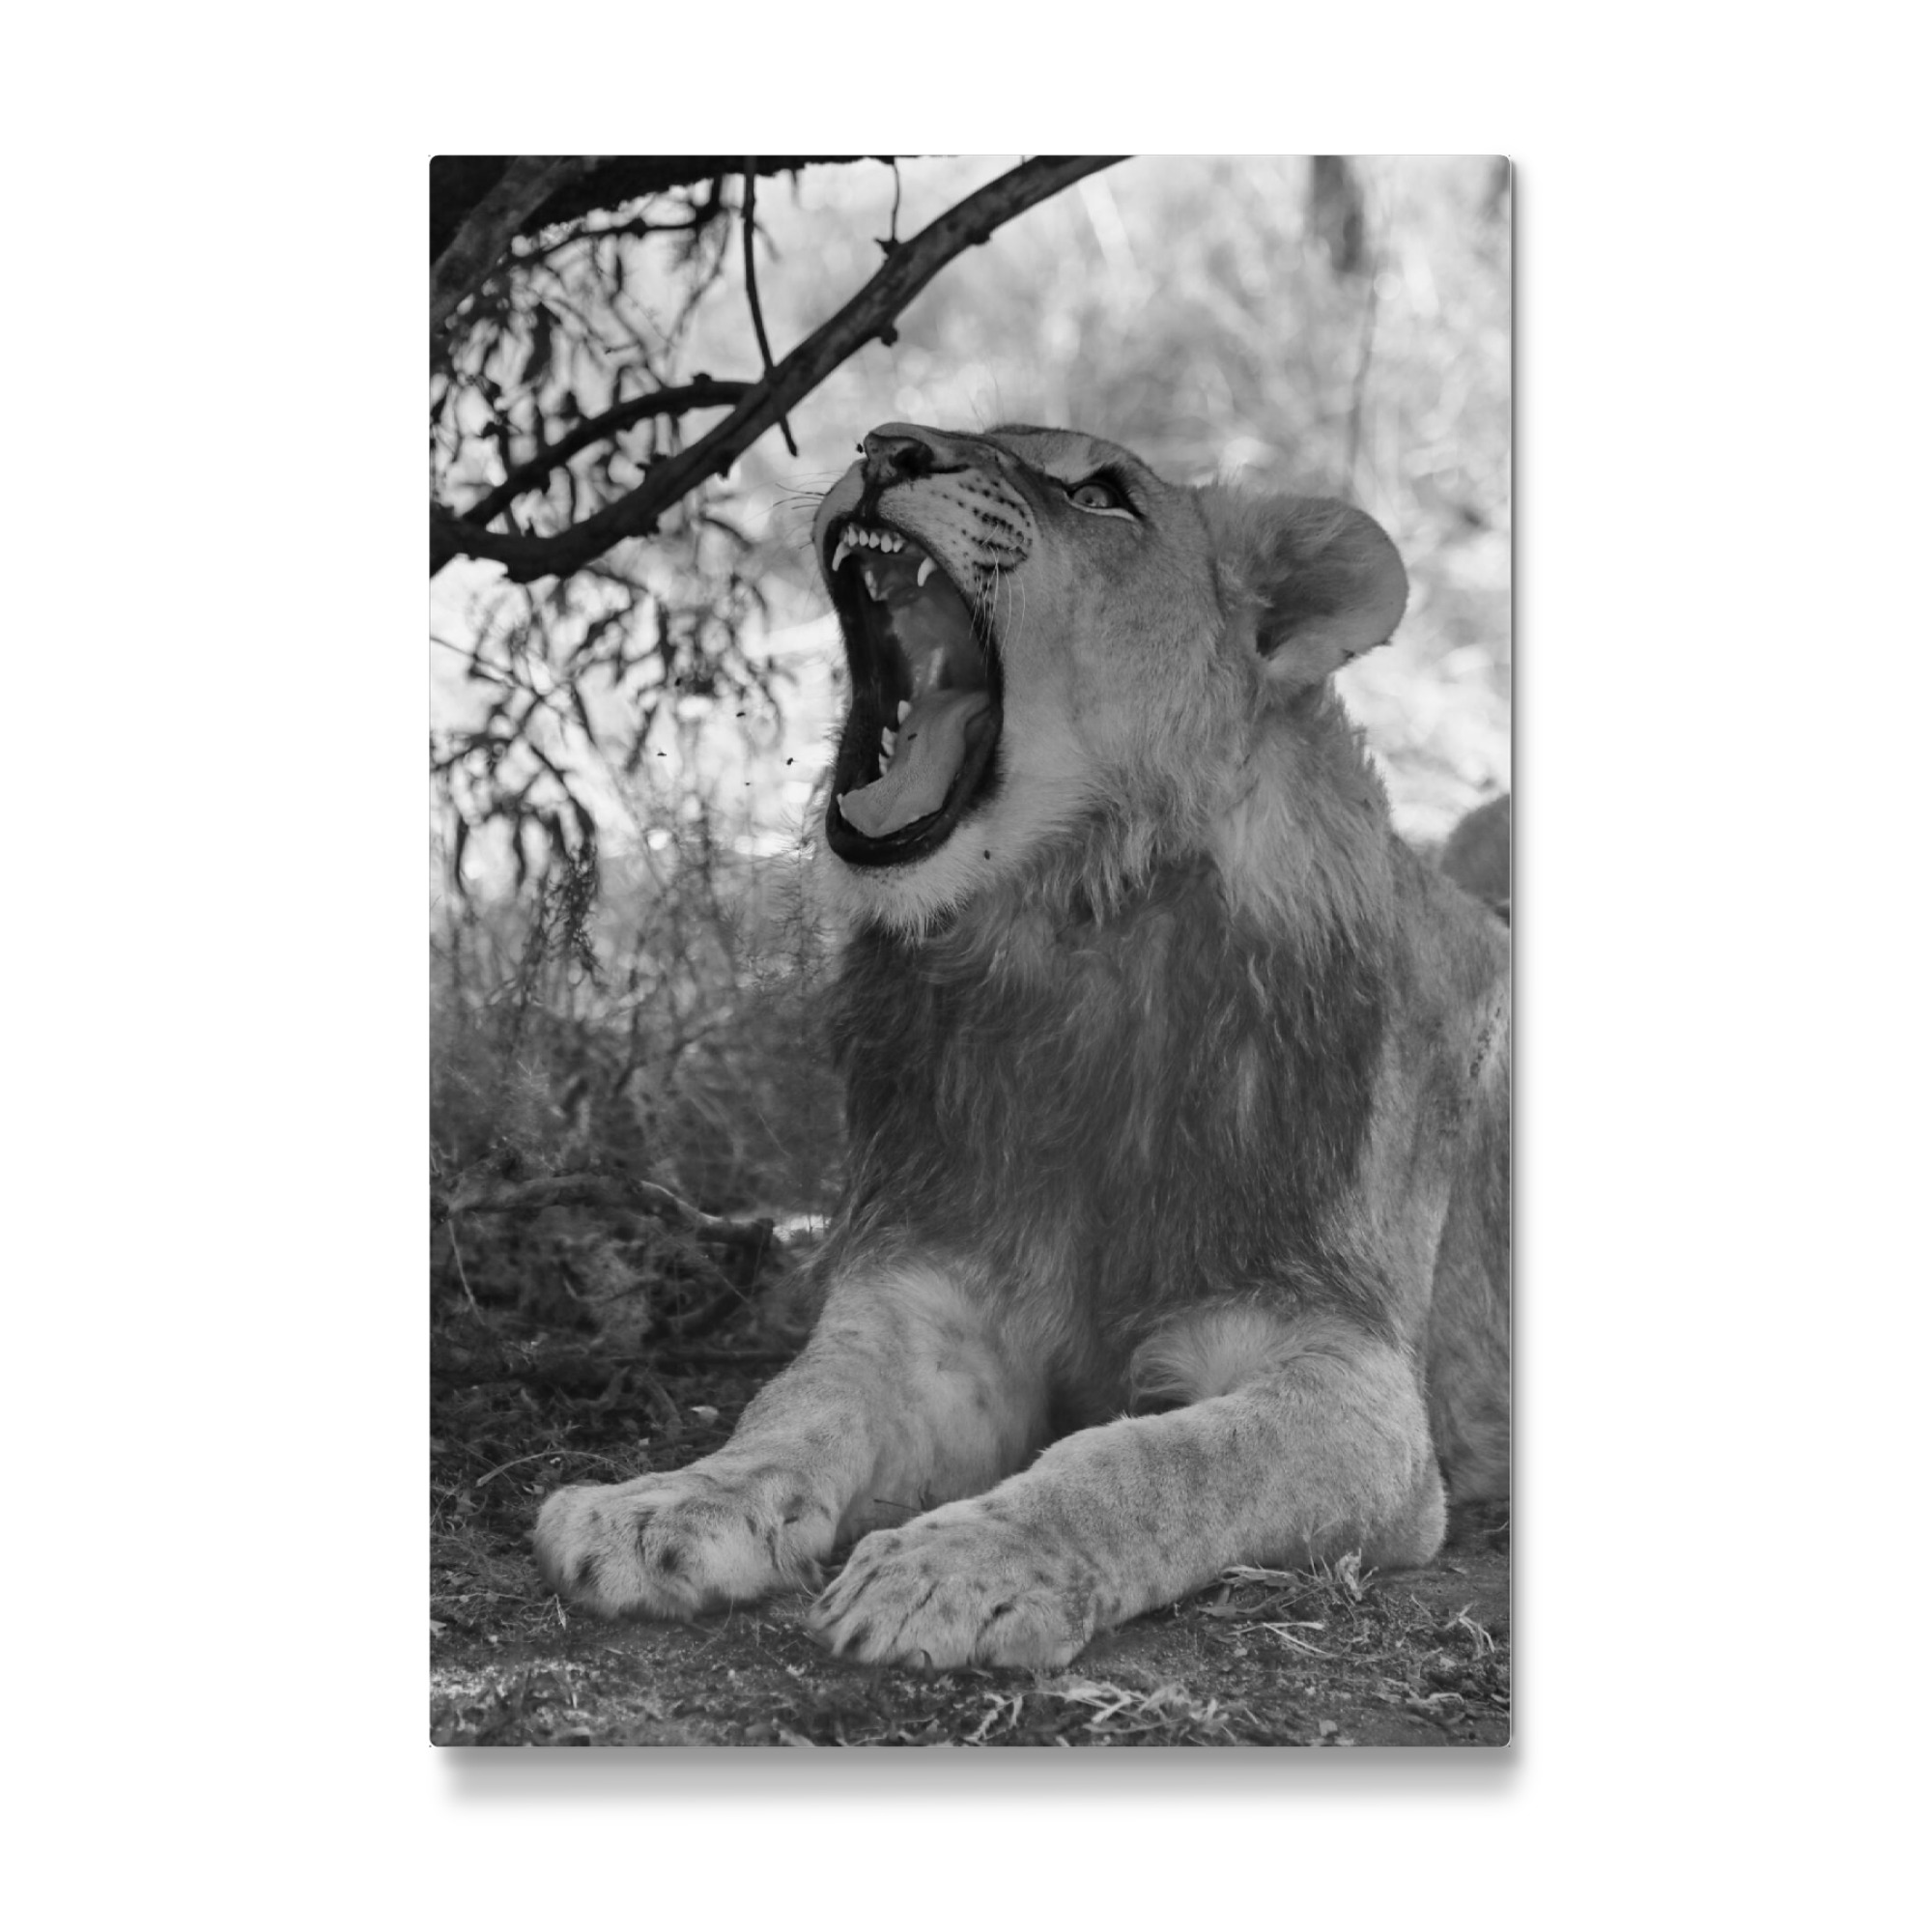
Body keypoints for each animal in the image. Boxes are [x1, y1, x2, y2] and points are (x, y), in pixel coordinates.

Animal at [534, 422, 1510, 1670]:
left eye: (1099, 493)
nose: (887, 445)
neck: (1061, 946)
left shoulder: (1353, 1387)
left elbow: (1153, 1461)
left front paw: (956, 1567)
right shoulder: (931, 1307)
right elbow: (797, 1404)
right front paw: (663, 1506)